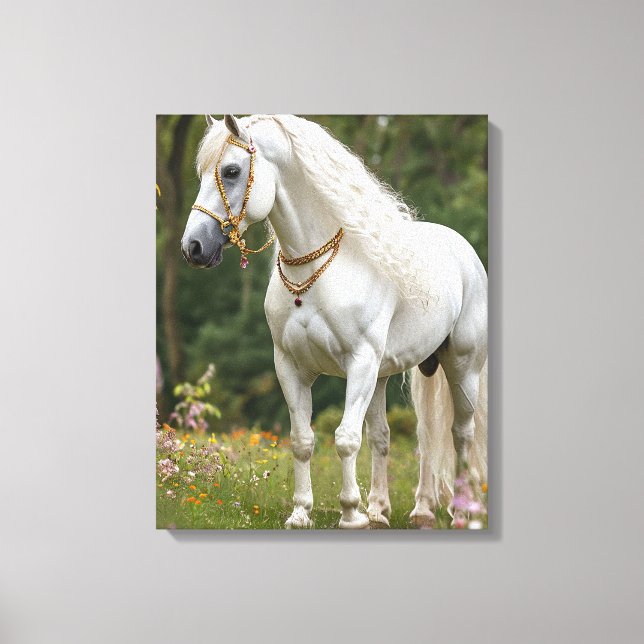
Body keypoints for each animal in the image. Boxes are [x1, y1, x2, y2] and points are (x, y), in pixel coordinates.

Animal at [181, 114, 488, 529]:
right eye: (200, 174)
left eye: (231, 171)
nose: (193, 248)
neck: (317, 273)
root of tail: (464, 251)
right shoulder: (290, 367)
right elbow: (302, 440)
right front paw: (301, 514)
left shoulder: (359, 364)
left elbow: (345, 439)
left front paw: (351, 514)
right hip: (389, 374)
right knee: (404, 435)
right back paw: (395, 510)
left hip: (461, 368)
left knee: (460, 433)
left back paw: (461, 513)